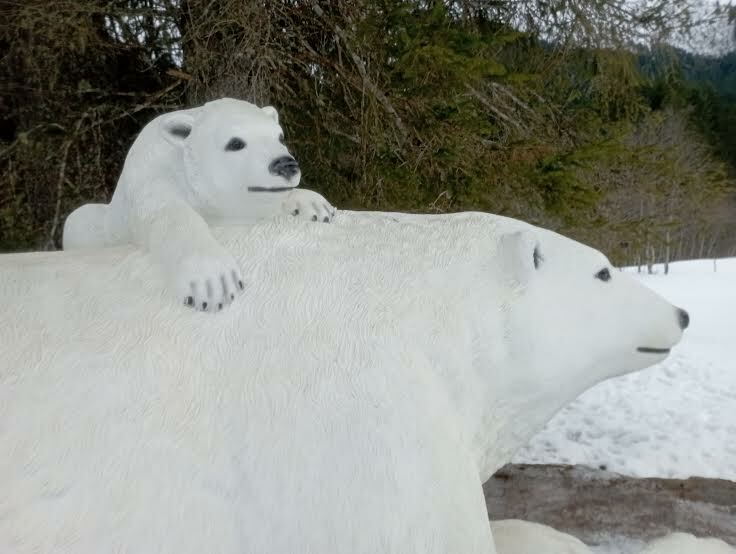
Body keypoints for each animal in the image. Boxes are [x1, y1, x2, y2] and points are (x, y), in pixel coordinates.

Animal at [62, 97, 335, 313]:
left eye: (280, 136)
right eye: (235, 143)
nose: (285, 165)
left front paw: (316, 207)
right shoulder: (152, 174)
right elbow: (167, 213)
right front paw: (214, 282)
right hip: (84, 228)